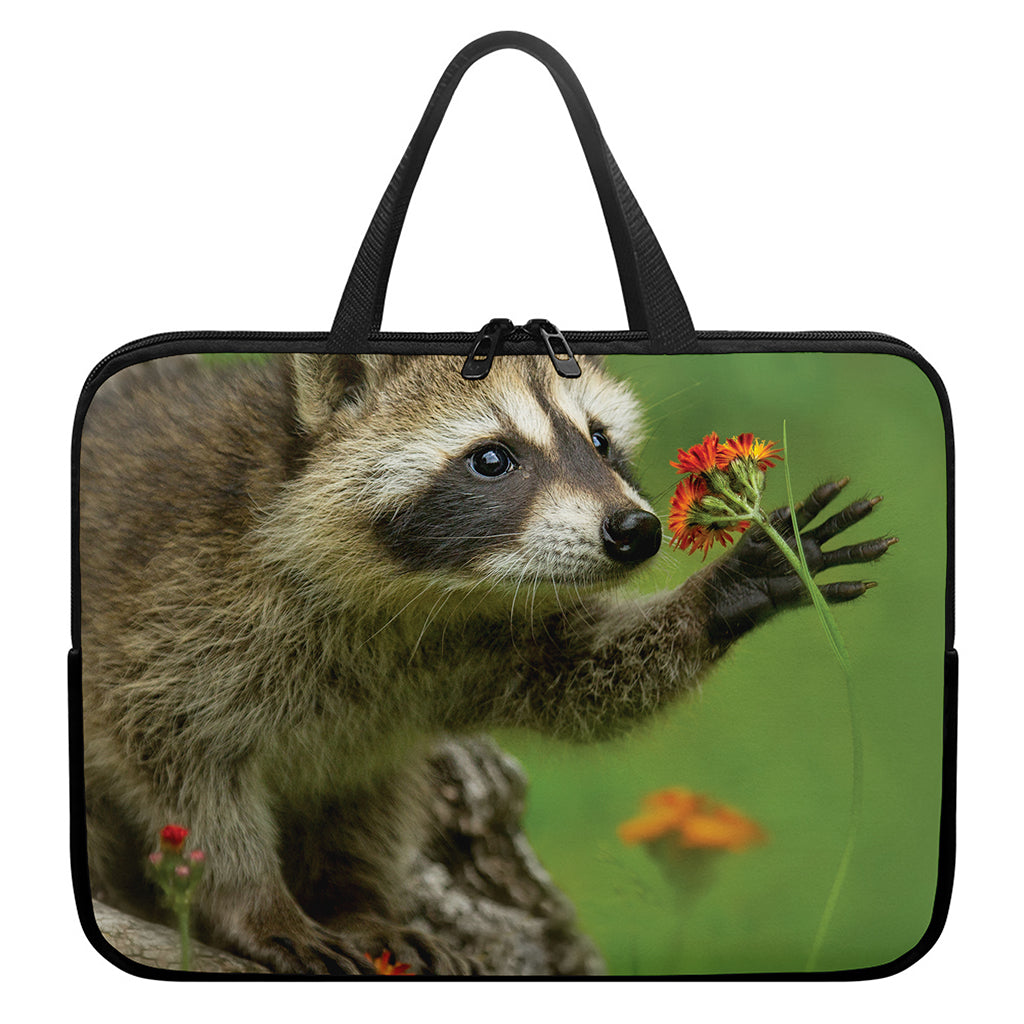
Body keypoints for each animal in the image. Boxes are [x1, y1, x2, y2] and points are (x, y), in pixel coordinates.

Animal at [79, 351, 893, 975]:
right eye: (492, 459)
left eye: (600, 441)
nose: (636, 531)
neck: (413, 594)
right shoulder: (170, 617)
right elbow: (184, 772)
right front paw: (255, 902)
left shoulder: (474, 640)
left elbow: (578, 678)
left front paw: (721, 592)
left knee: (369, 791)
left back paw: (358, 895)